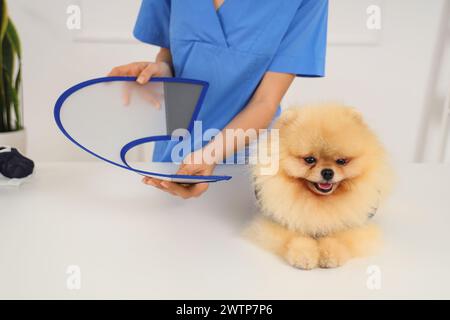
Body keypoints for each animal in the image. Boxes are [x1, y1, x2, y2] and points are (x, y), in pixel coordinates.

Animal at [248, 105, 392, 270]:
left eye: (341, 161)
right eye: (309, 159)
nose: (328, 172)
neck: (319, 201)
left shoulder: (353, 224)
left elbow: (339, 237)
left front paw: (331, 255)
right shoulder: (283, 221)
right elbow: (296, 237)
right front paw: (304, 256)